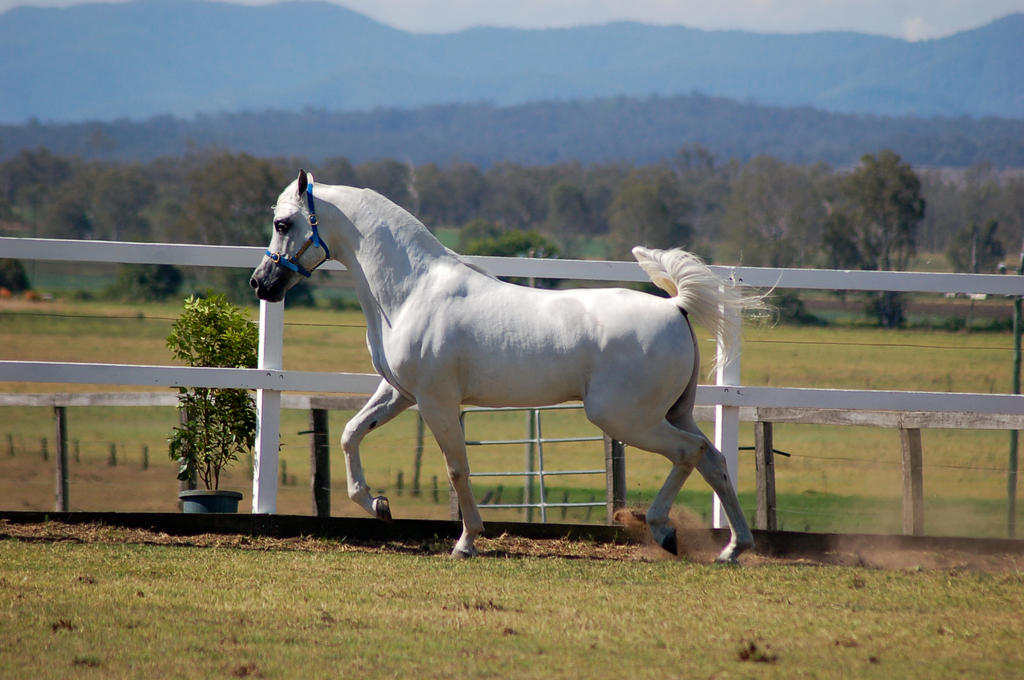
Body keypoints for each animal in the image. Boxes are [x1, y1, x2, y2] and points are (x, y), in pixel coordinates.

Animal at [251, 168, 765, 561]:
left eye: (283, 223)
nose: (261, 283)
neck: (411, 291)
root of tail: (675, 307)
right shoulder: (400, 392)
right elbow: (350, 433)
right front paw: (378, 504)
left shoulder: (437, 402)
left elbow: (457, 469)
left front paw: (466, 542)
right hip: (672, 412)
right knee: (714, 459)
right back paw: (732, 548)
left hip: (625, 417)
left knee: (689, 453)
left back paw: (663, 528)